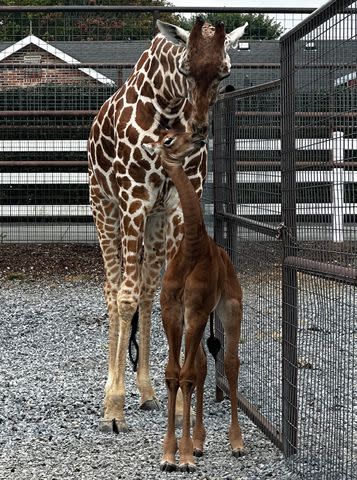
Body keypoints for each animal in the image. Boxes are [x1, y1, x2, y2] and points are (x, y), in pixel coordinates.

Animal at [87, 16, 246, 434]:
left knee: (144, 291)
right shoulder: (133, 200)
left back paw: (145, 391)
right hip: (103, 206)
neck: (169, 109)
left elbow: (174, 296)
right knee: (113, 291)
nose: (198, 131)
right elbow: (124, 298)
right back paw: (111, 391)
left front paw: (179, 409)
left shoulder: (174, 208)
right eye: (185, 69)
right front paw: (114, 408)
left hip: (154, 223)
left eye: (225, 72)